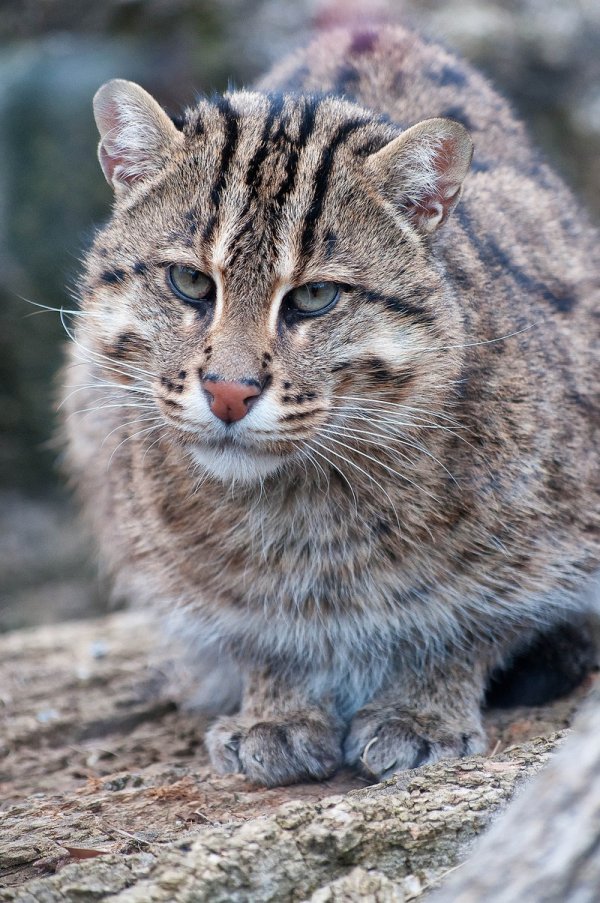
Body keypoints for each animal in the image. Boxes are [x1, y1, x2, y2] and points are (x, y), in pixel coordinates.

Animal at [62, 24, 600, 788]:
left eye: (315, 296)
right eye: (190, 282)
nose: (228, 390)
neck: (302, 505)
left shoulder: (547, 543)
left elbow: (471, 623)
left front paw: (421, 709)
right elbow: (255, 631)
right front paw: (277, 710)